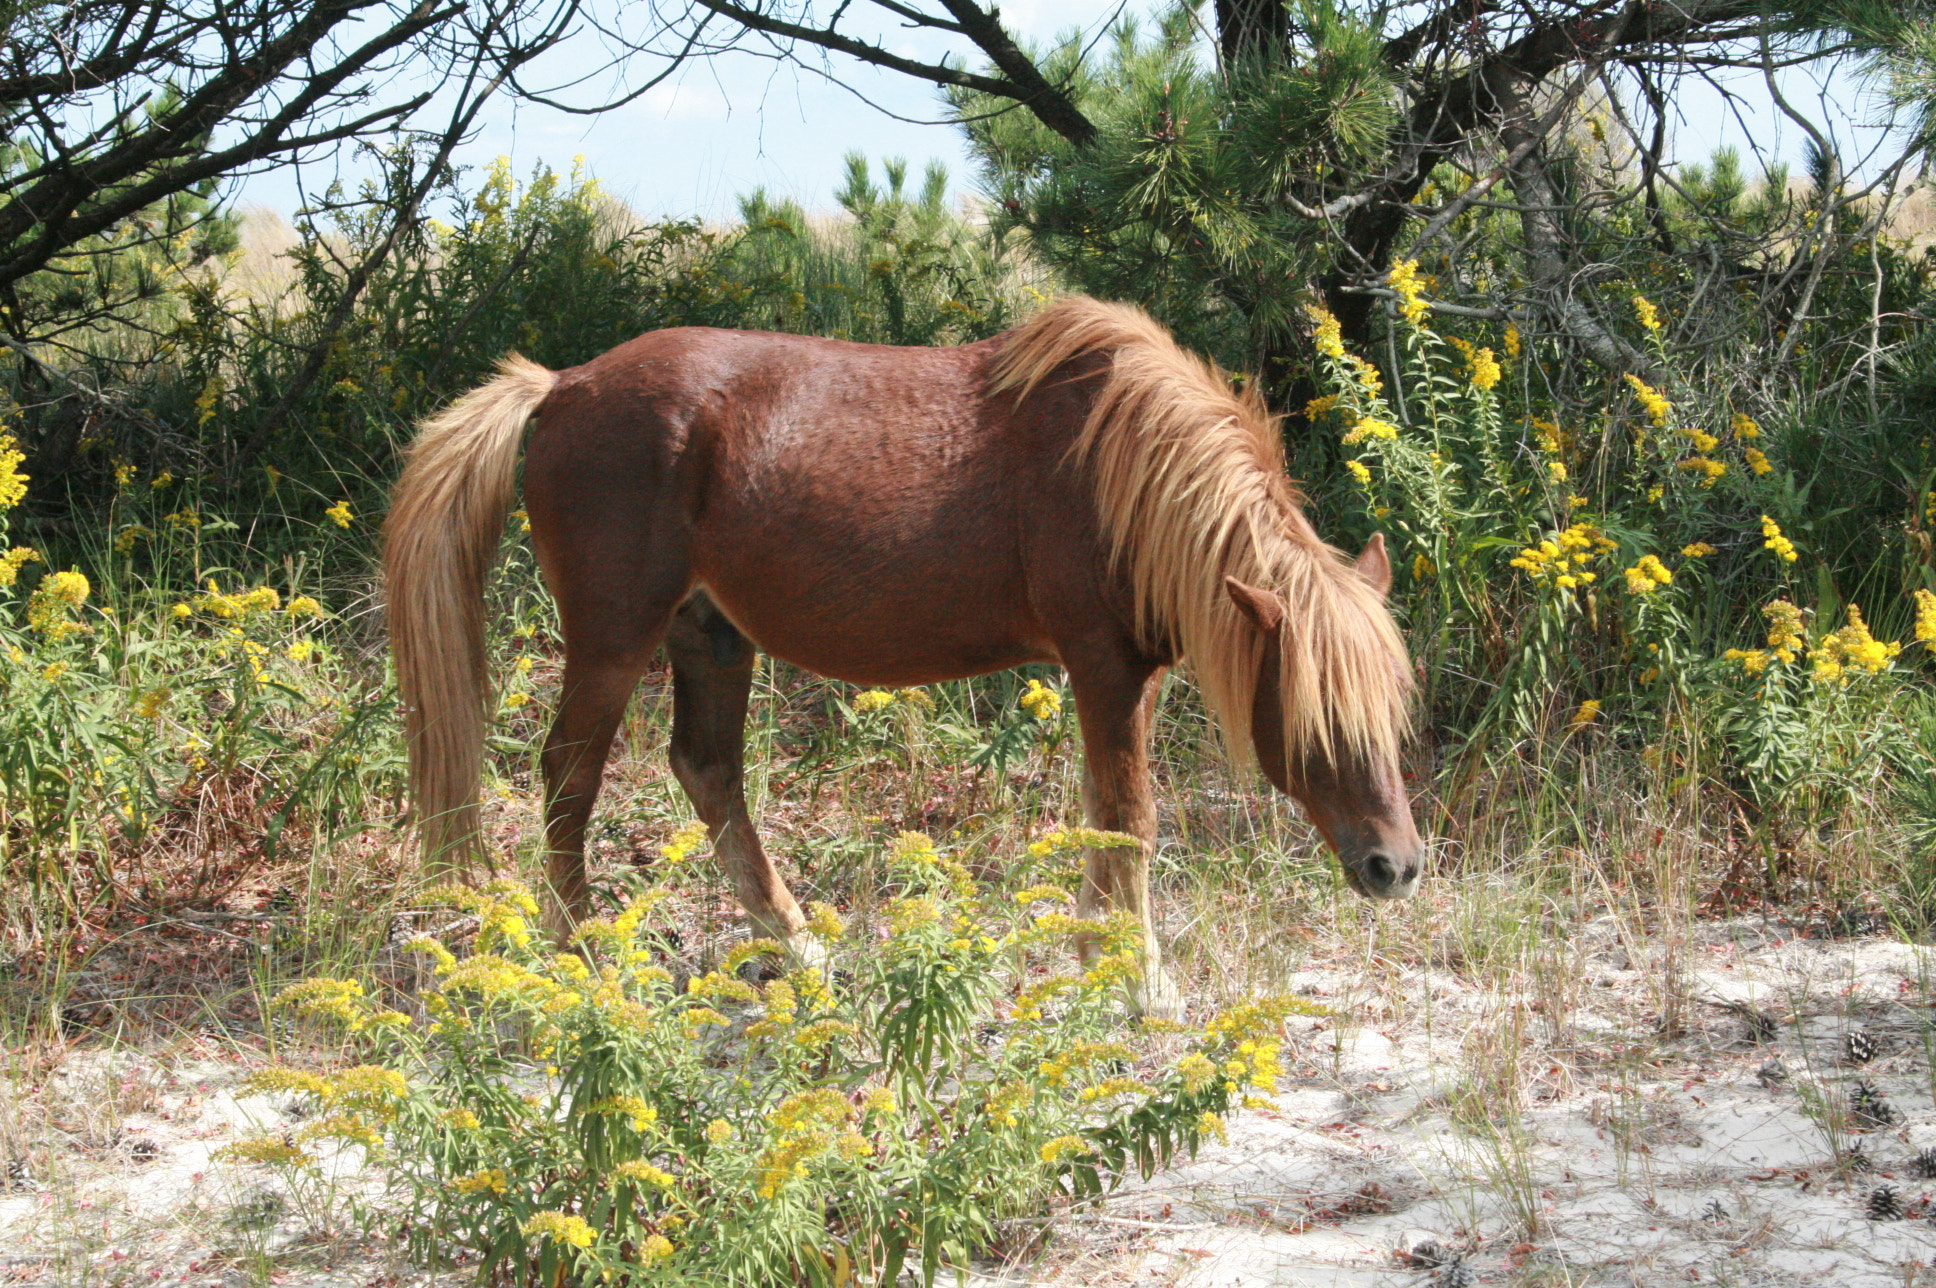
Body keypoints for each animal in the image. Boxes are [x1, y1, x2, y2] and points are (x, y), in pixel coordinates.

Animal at [385, 296, 1432, 1007]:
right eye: (1317, 722)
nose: (1398, 867)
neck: (1117, 466)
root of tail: (560, 385)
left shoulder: (1129, 677)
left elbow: (1108, 815)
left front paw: (1104, 958)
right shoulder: (1104, 666)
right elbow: (1130, 819)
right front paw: (1139, 983)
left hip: (711, 636)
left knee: (707, 769)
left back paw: (795, 945)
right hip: (614, 638)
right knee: (571, 773)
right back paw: (583, 950)